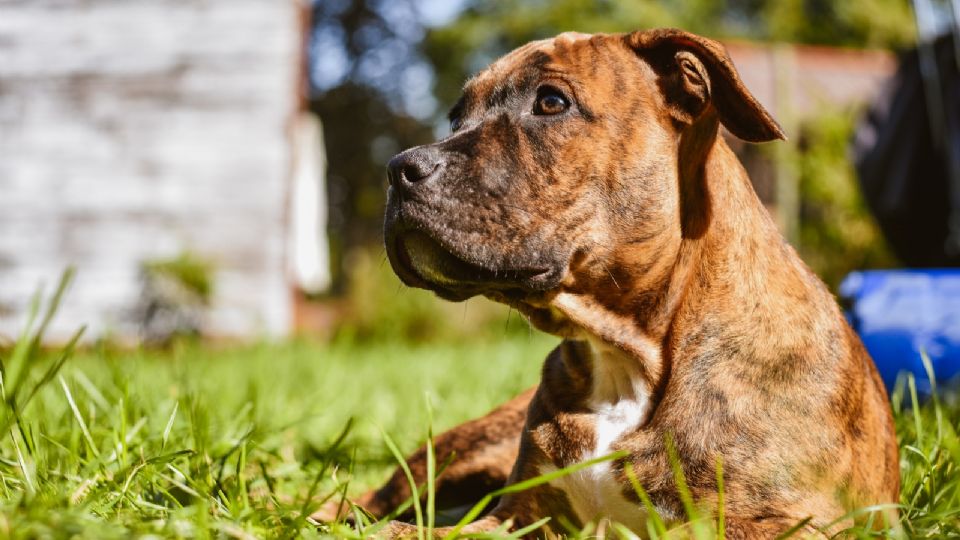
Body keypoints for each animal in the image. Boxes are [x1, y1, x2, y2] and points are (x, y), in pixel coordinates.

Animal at [314, 29, 900, 540]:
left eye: (551, 102)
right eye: (456, 117)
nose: (399, 167)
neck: (625, 353)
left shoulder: (788, 523)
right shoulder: (516, 515)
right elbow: (421, 531)